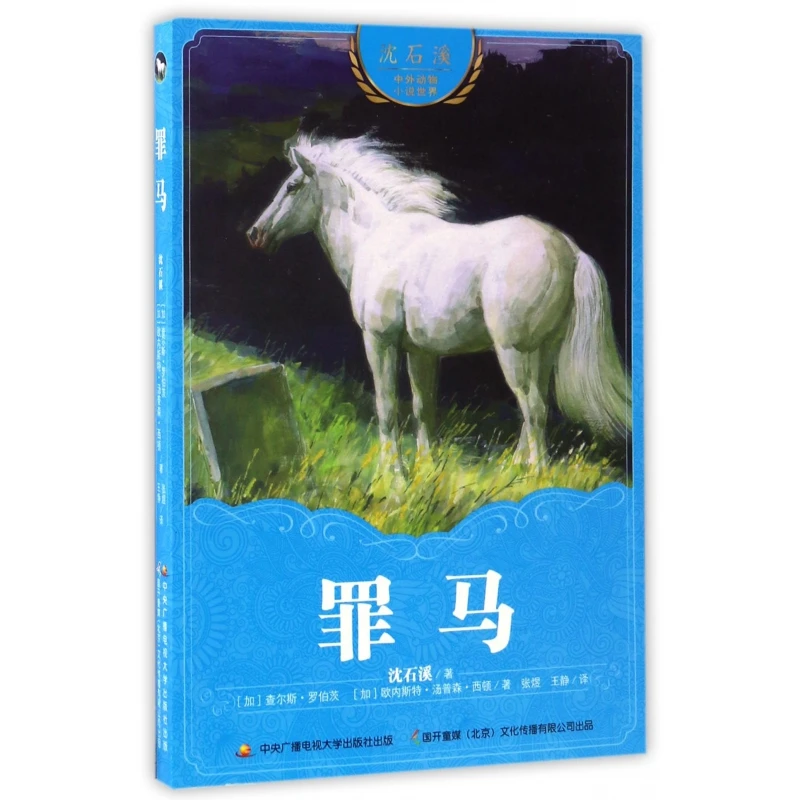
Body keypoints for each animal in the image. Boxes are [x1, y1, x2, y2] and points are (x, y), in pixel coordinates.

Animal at [247, 133, 631, 473]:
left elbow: (386, 406)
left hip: (514, 351)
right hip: (543, 350)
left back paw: (536, 474)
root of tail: (571, 250)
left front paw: (392, 473)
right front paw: (425, 466)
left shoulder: (379, 341)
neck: (375, 239)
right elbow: (422, 407)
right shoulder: (420, 352)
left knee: (533, 407)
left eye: (292, 186)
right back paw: (516, 467)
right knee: (537, 406)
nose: (255, 234)